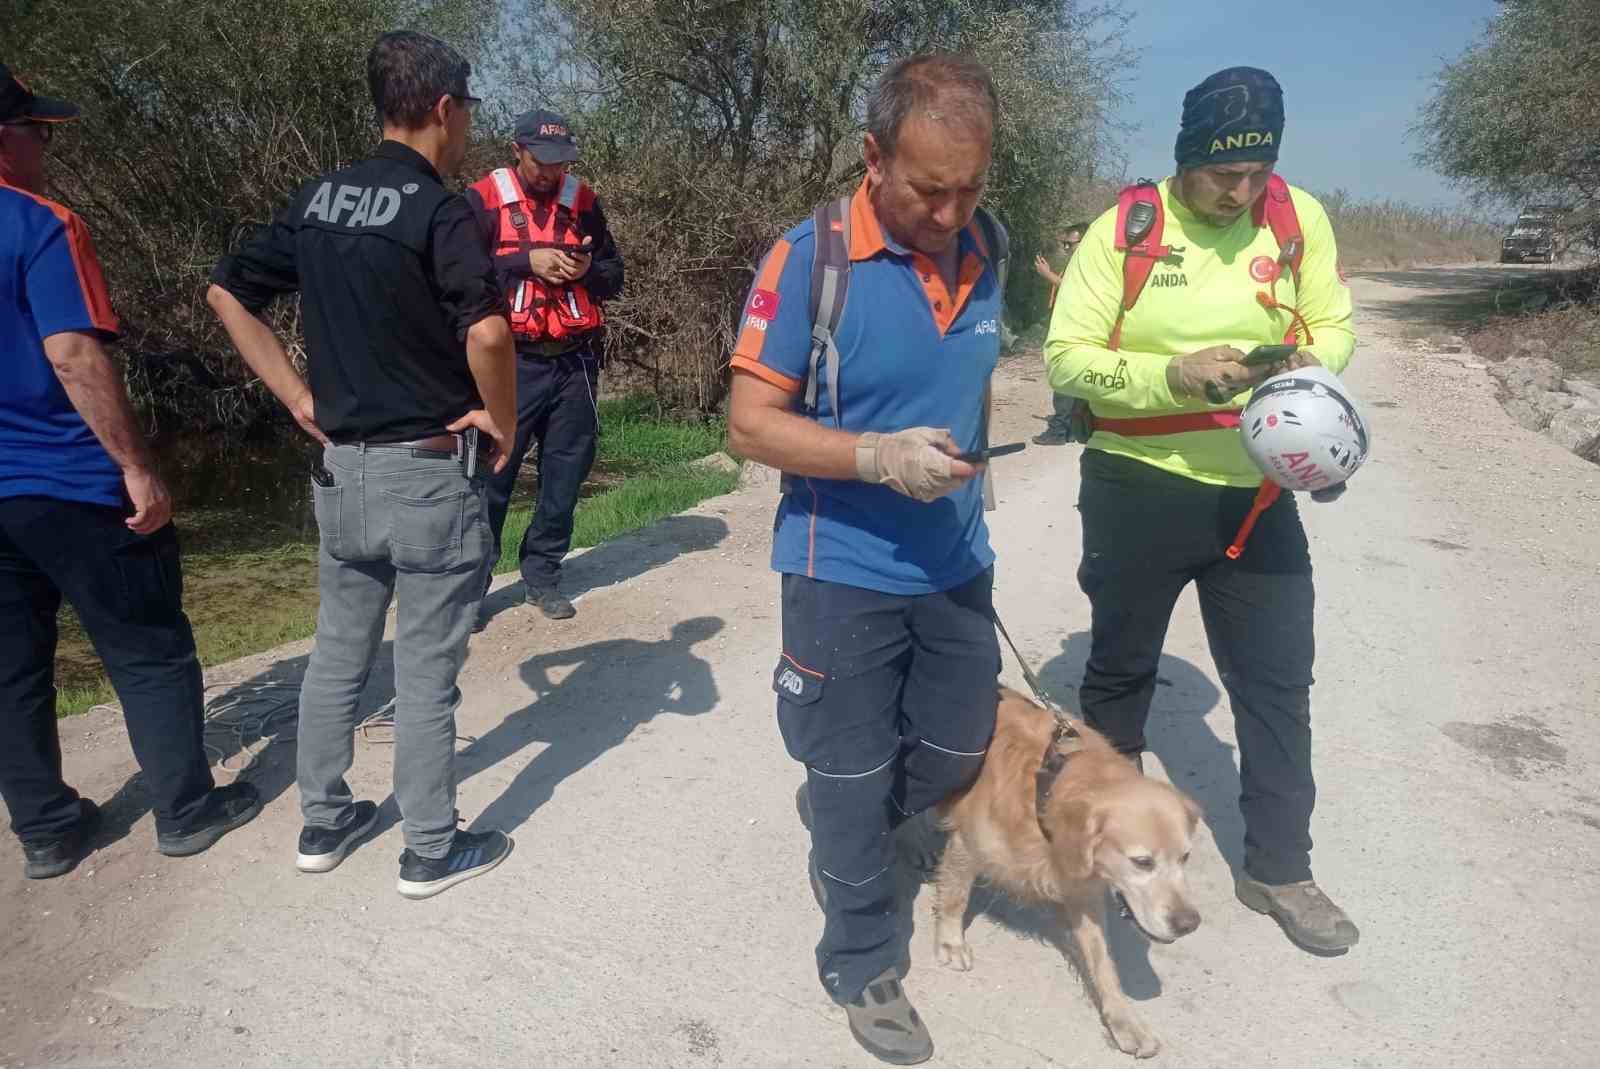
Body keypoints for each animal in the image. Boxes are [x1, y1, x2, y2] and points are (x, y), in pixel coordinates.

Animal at [934, 688, 1203, 1056]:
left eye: (1185, 857)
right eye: (1142, 862)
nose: (1189, 923)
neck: (1045, 787)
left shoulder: (1081, 888)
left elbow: (1103, 960)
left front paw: (1124, 1020)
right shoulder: (967, 843)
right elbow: (955, 897)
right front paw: (950, 942)